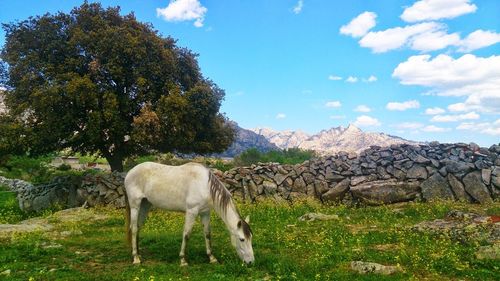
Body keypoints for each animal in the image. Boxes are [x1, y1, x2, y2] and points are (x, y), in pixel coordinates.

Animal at [123, 162, 256, 264]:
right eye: (242, 239)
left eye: (251, 237)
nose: (250, 262)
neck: (205, 186)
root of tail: (130, 172)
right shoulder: (192, 212)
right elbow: (186, 234)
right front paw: (183, 260)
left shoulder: (205, 212)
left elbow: (207, 234)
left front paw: (211, 258)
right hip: (135, 205)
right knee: (134, 229)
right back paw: (136, 258)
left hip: (145, 205)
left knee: (138, 227)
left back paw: (139, 254)